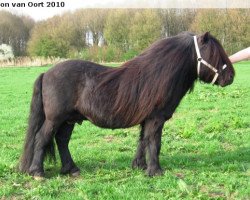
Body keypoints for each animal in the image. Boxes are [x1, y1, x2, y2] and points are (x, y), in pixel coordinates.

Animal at [19, 31, 234, 178]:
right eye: (215, 53)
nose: (231, 76)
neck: (158, 75)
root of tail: (46, 73)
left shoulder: (146, 119)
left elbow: (142, 141)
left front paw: (139, 165)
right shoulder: (156, 119)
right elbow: (154, 142)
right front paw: (155, 170)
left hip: (68, 120)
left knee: (62, 141)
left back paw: (71, 169)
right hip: (55, 119)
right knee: (41, 138)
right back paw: (37, 172)